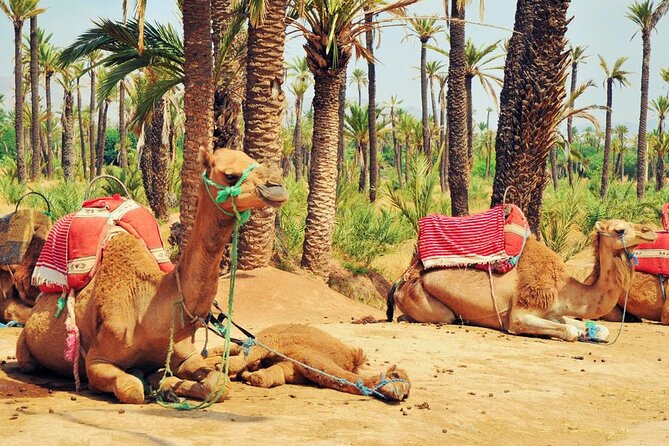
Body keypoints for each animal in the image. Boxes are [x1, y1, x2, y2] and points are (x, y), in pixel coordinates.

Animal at [16, 148, 288, 404]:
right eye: (230, 175)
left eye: (252, 159)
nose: (278, 186)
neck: (149, 307)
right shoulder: (97, 360)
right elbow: (132, 388)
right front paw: (154, 384)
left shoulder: (186, 354)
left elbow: (219, 384)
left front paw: (165, 384)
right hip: (25, 349)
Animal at [205, 324, 411, 401]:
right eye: (396, 375)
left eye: (408, 392)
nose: (400, 395)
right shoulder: (278, 342)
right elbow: (250, 355)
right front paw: (223, 367)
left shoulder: (292, 366)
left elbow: (267, 378)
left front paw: (249, 375)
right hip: (266, 333)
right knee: (233, 346)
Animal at [387, 220, 656, 342]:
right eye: (620, 230)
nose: (650, 231)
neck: (563, 288)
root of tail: (402, 280)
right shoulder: (521, 314)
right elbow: (569, 331)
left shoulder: (553, 312)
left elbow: (599, 328)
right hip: (426, 300)